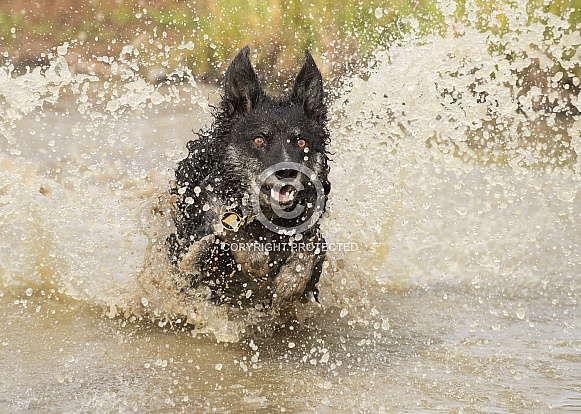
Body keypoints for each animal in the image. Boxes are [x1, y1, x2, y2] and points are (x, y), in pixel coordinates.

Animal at [168, 46, 330, 314]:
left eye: (301, 142)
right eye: (259, 139)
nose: (287, 171)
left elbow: (314, 245)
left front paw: (289, 284)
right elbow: (226, 231)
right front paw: (258, 263)